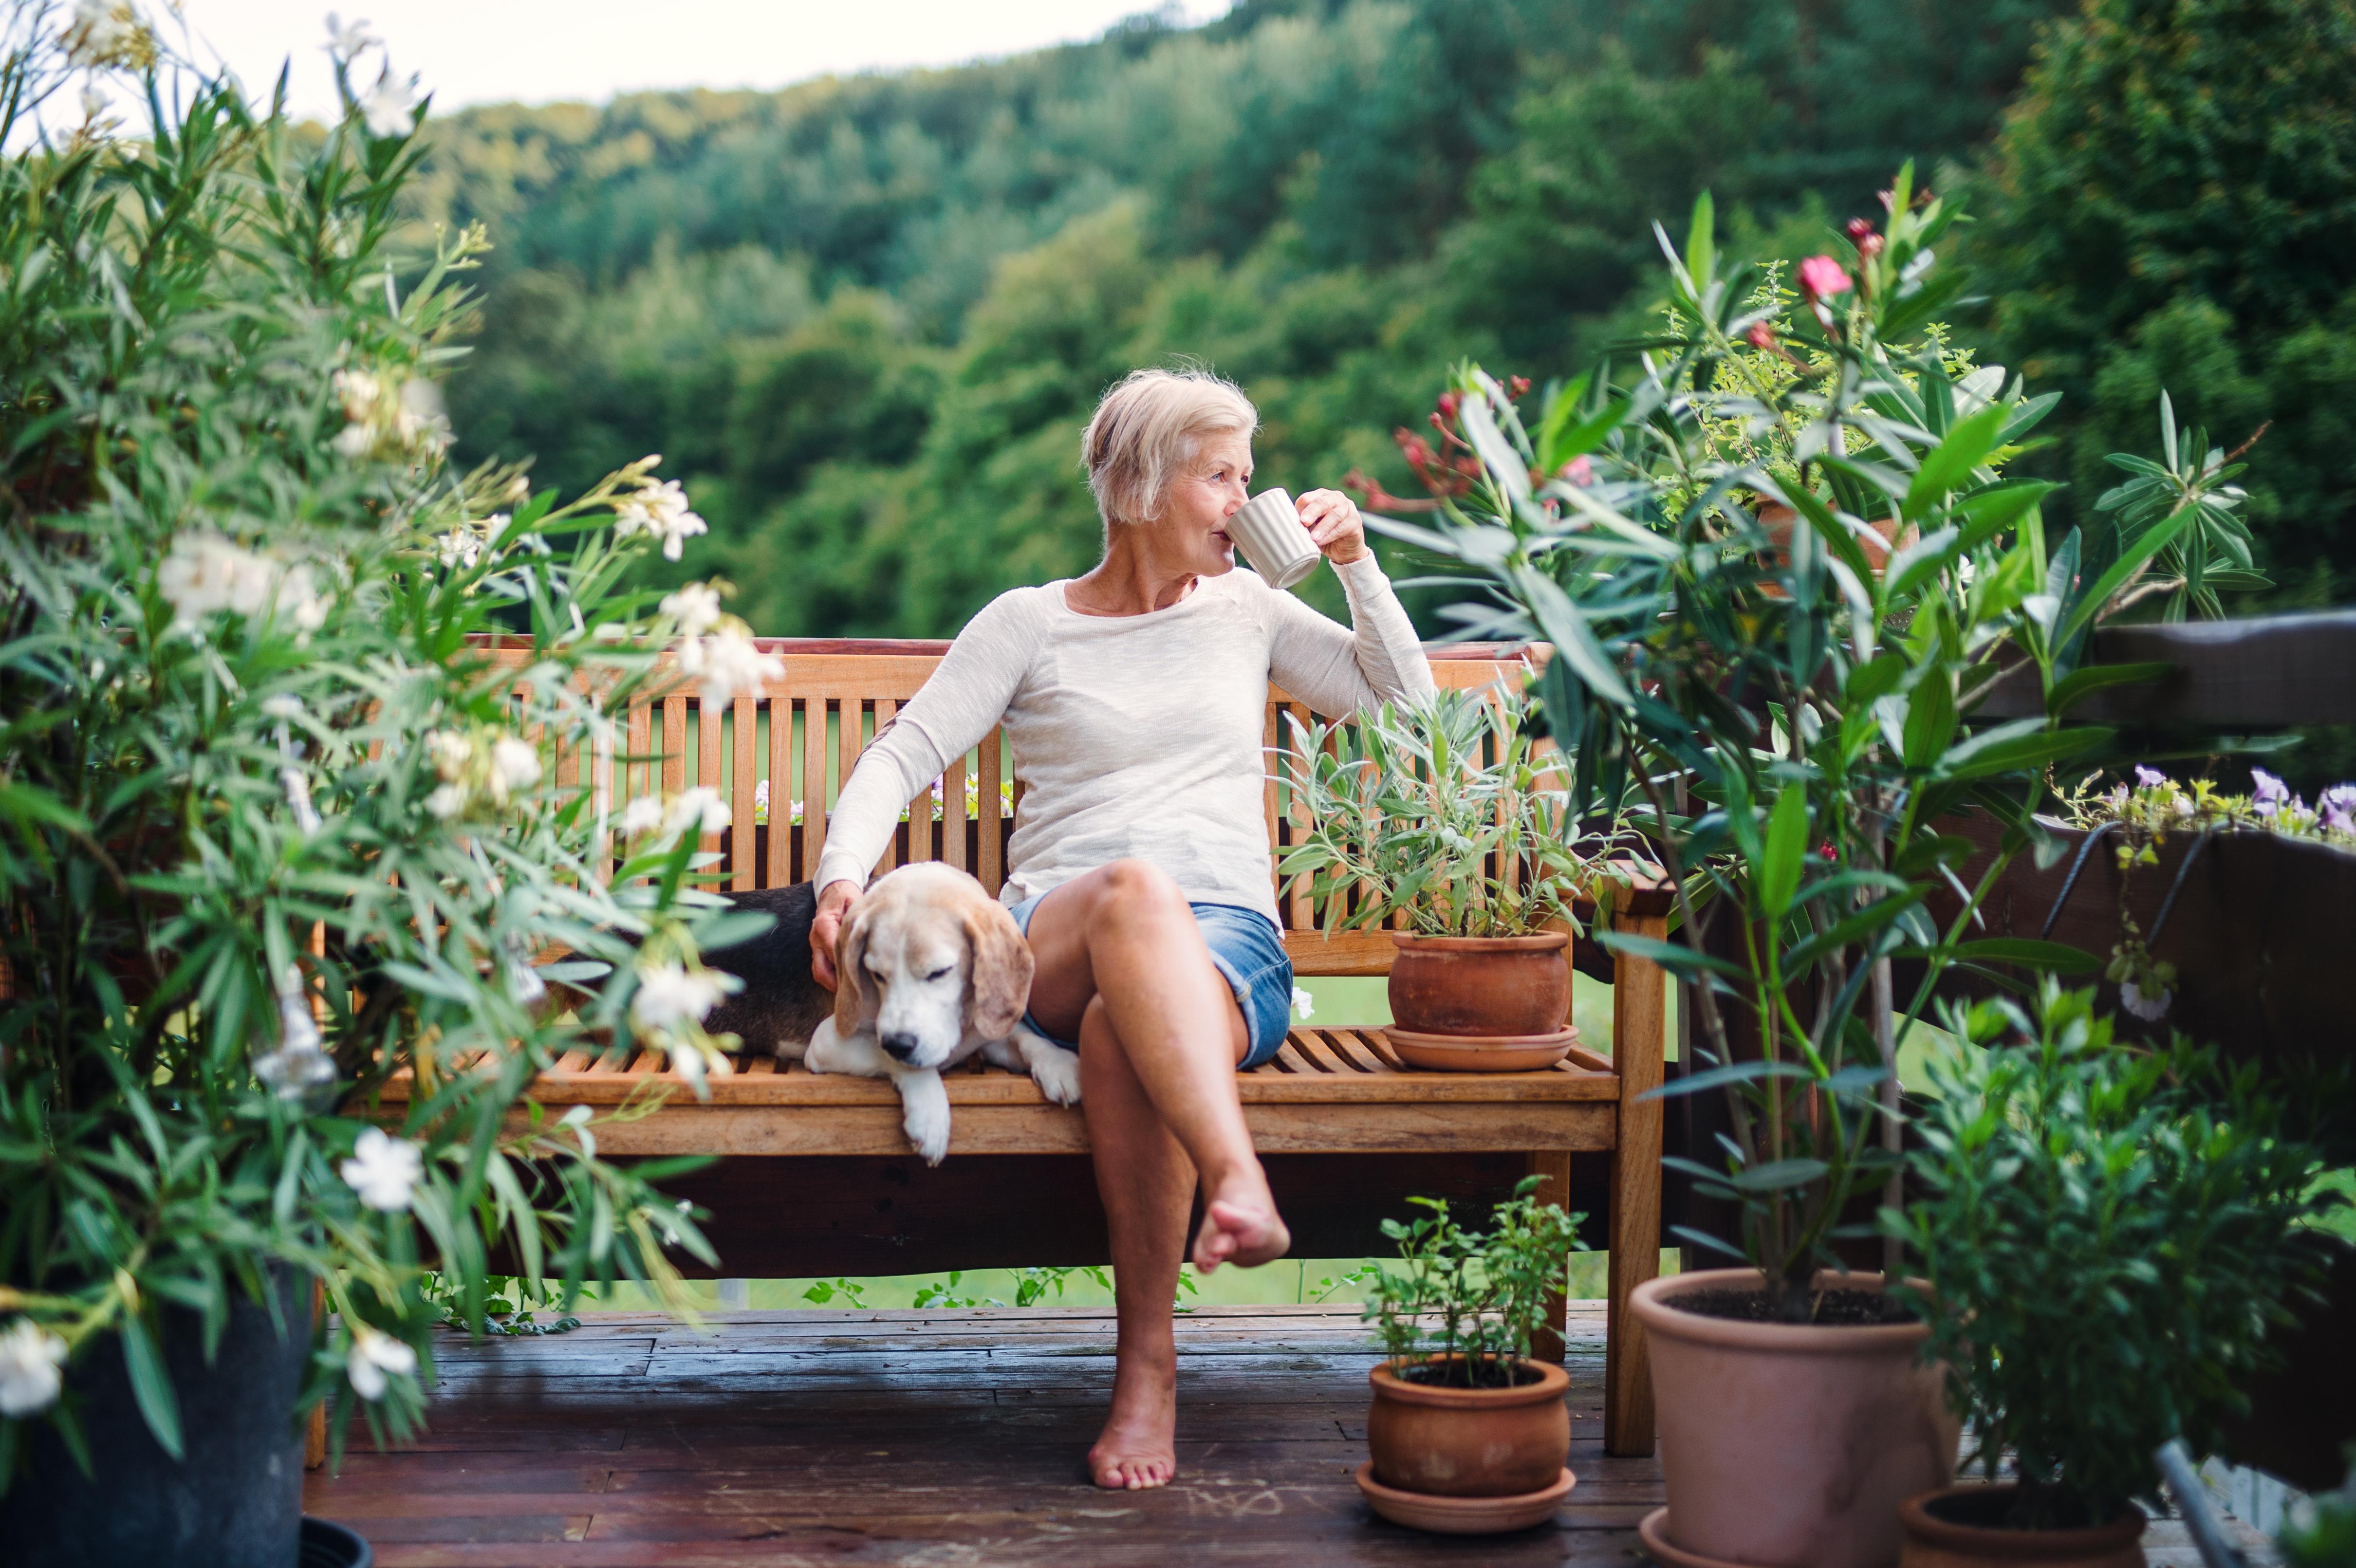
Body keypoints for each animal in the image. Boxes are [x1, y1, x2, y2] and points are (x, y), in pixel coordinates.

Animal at [791, 857, 1083, 1158]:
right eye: (877, 975)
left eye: (939, 973)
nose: (898, 1043)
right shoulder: (826, 1042)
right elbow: (889, 1055)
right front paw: (930, 1115)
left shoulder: (983, 1036)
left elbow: (1025, 1037)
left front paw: (1057, 1062)